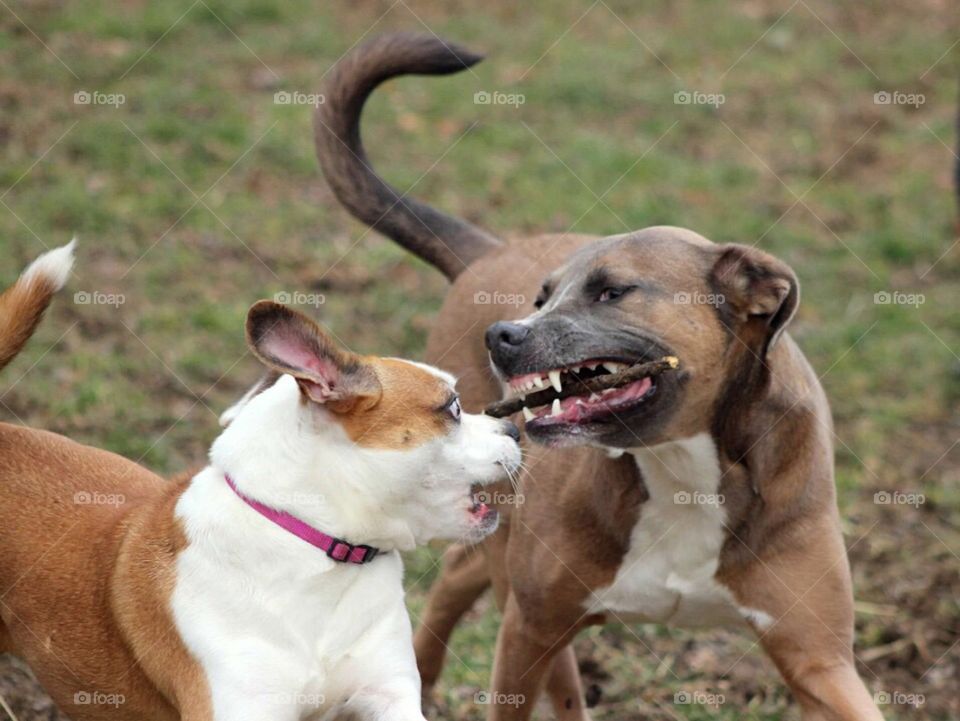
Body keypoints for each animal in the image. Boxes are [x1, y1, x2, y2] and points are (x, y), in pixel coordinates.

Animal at [316, 32, 884, 720]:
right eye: (542, 298)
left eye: (613, 292)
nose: (502, 336)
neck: (681, 466)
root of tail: (487, 251)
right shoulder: (530, 627)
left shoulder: (818, 662)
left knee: (462, 571)